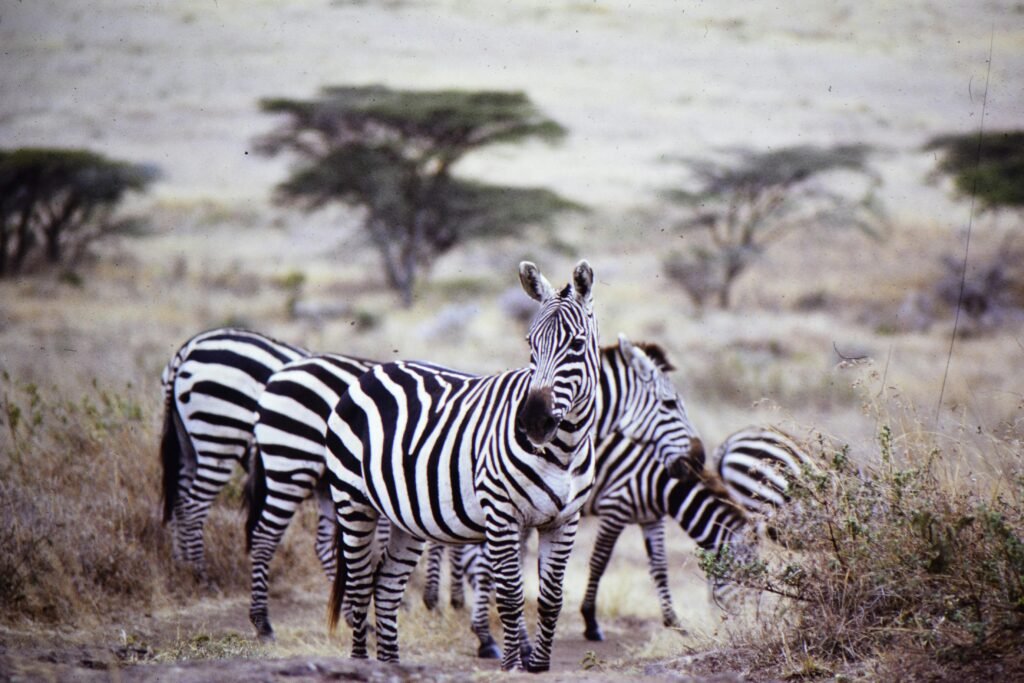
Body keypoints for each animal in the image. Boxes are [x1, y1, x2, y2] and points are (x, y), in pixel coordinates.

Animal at [160, 327, 308, 580]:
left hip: (186, 445)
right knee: (193, 507)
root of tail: (189, 347)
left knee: (179, 498)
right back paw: (200, 575)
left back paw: (182, 565)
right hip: (219, 440)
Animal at [245, 331, 704, 643]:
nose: (698, 460)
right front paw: (487, 632)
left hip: (330, 486)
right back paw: (263, 623)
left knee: (328, 549)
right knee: (266, 537)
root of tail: (283, 371)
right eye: (669, 404)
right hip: (291, 465)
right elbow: (490, 567)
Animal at [324, 260, 602, 671]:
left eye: (577, 345)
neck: (563, 450)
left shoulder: (565, 521)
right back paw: (360, 664)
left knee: (385, 586)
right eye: (530, 344)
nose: (532, 422)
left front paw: (538, 667)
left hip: (405, 518)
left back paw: (390, 666)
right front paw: (512, 668)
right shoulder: (501, 513)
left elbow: (551, 600)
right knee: (359, 588)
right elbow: (511, 597)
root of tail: (372, 372)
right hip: (352, 501)